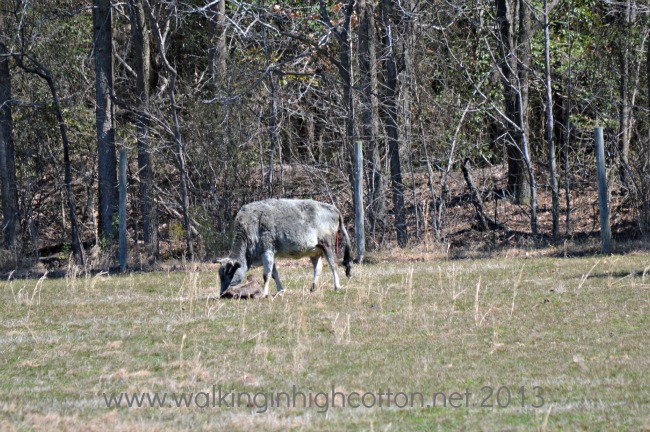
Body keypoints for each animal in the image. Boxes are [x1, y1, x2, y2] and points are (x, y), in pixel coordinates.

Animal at [217, 198, 352, 297]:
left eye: (229, 273)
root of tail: (333, 208)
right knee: (318, 268)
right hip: (314, 252)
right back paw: (313, 288)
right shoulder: (270, 255)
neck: (251, 225)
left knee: (333, 265)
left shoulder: (267, 252)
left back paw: (337, 286)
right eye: (220, 275)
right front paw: (280, 290)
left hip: (327, 246)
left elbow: (266, 275)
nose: (221, 293)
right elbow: (274, 274)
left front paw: (264, 293)